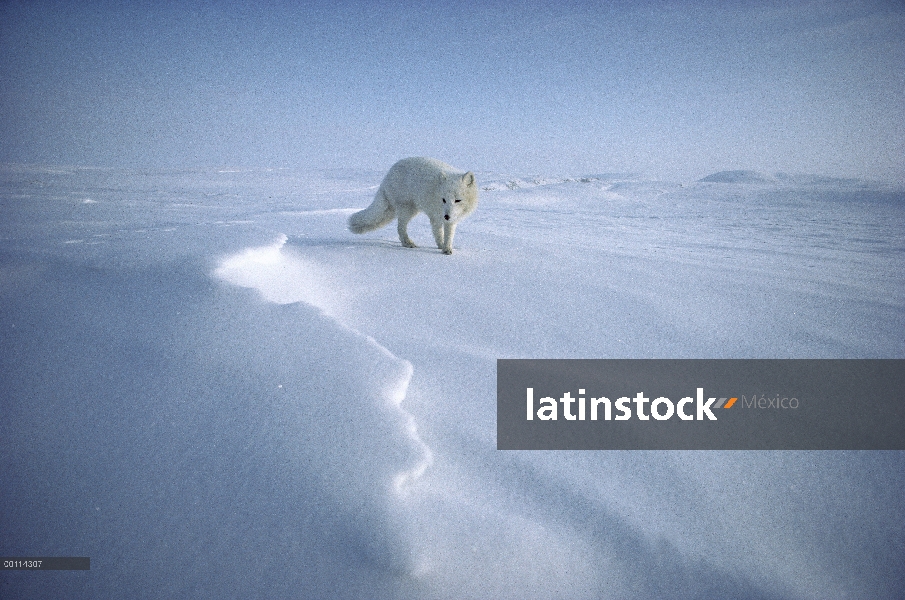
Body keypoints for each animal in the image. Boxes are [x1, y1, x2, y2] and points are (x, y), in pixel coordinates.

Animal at [346, 157, 476, 253]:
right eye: (443, 200)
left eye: (457, 200)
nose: (447, 216)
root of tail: (386, 177)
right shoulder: (435, 216)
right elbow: (439, 233)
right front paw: (442, 247)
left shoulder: (450, 219)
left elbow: (449, 235)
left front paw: (447, 248)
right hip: (408, 209)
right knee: (400, 228)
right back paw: (407, 243)